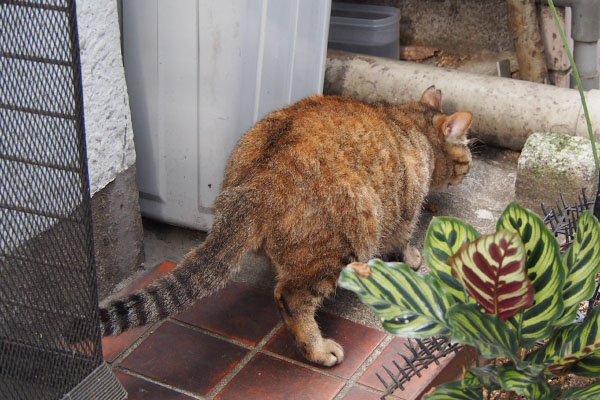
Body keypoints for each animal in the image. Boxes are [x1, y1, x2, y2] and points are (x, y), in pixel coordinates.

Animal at [99, 86, 474, 368]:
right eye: (468, 157)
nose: (468, 171)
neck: (409, 122)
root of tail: (259, 180)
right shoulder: (405, 210)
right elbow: (403, 238)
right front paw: (411, 257)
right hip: (347, 238)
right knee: (290, 296)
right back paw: (318, 348)